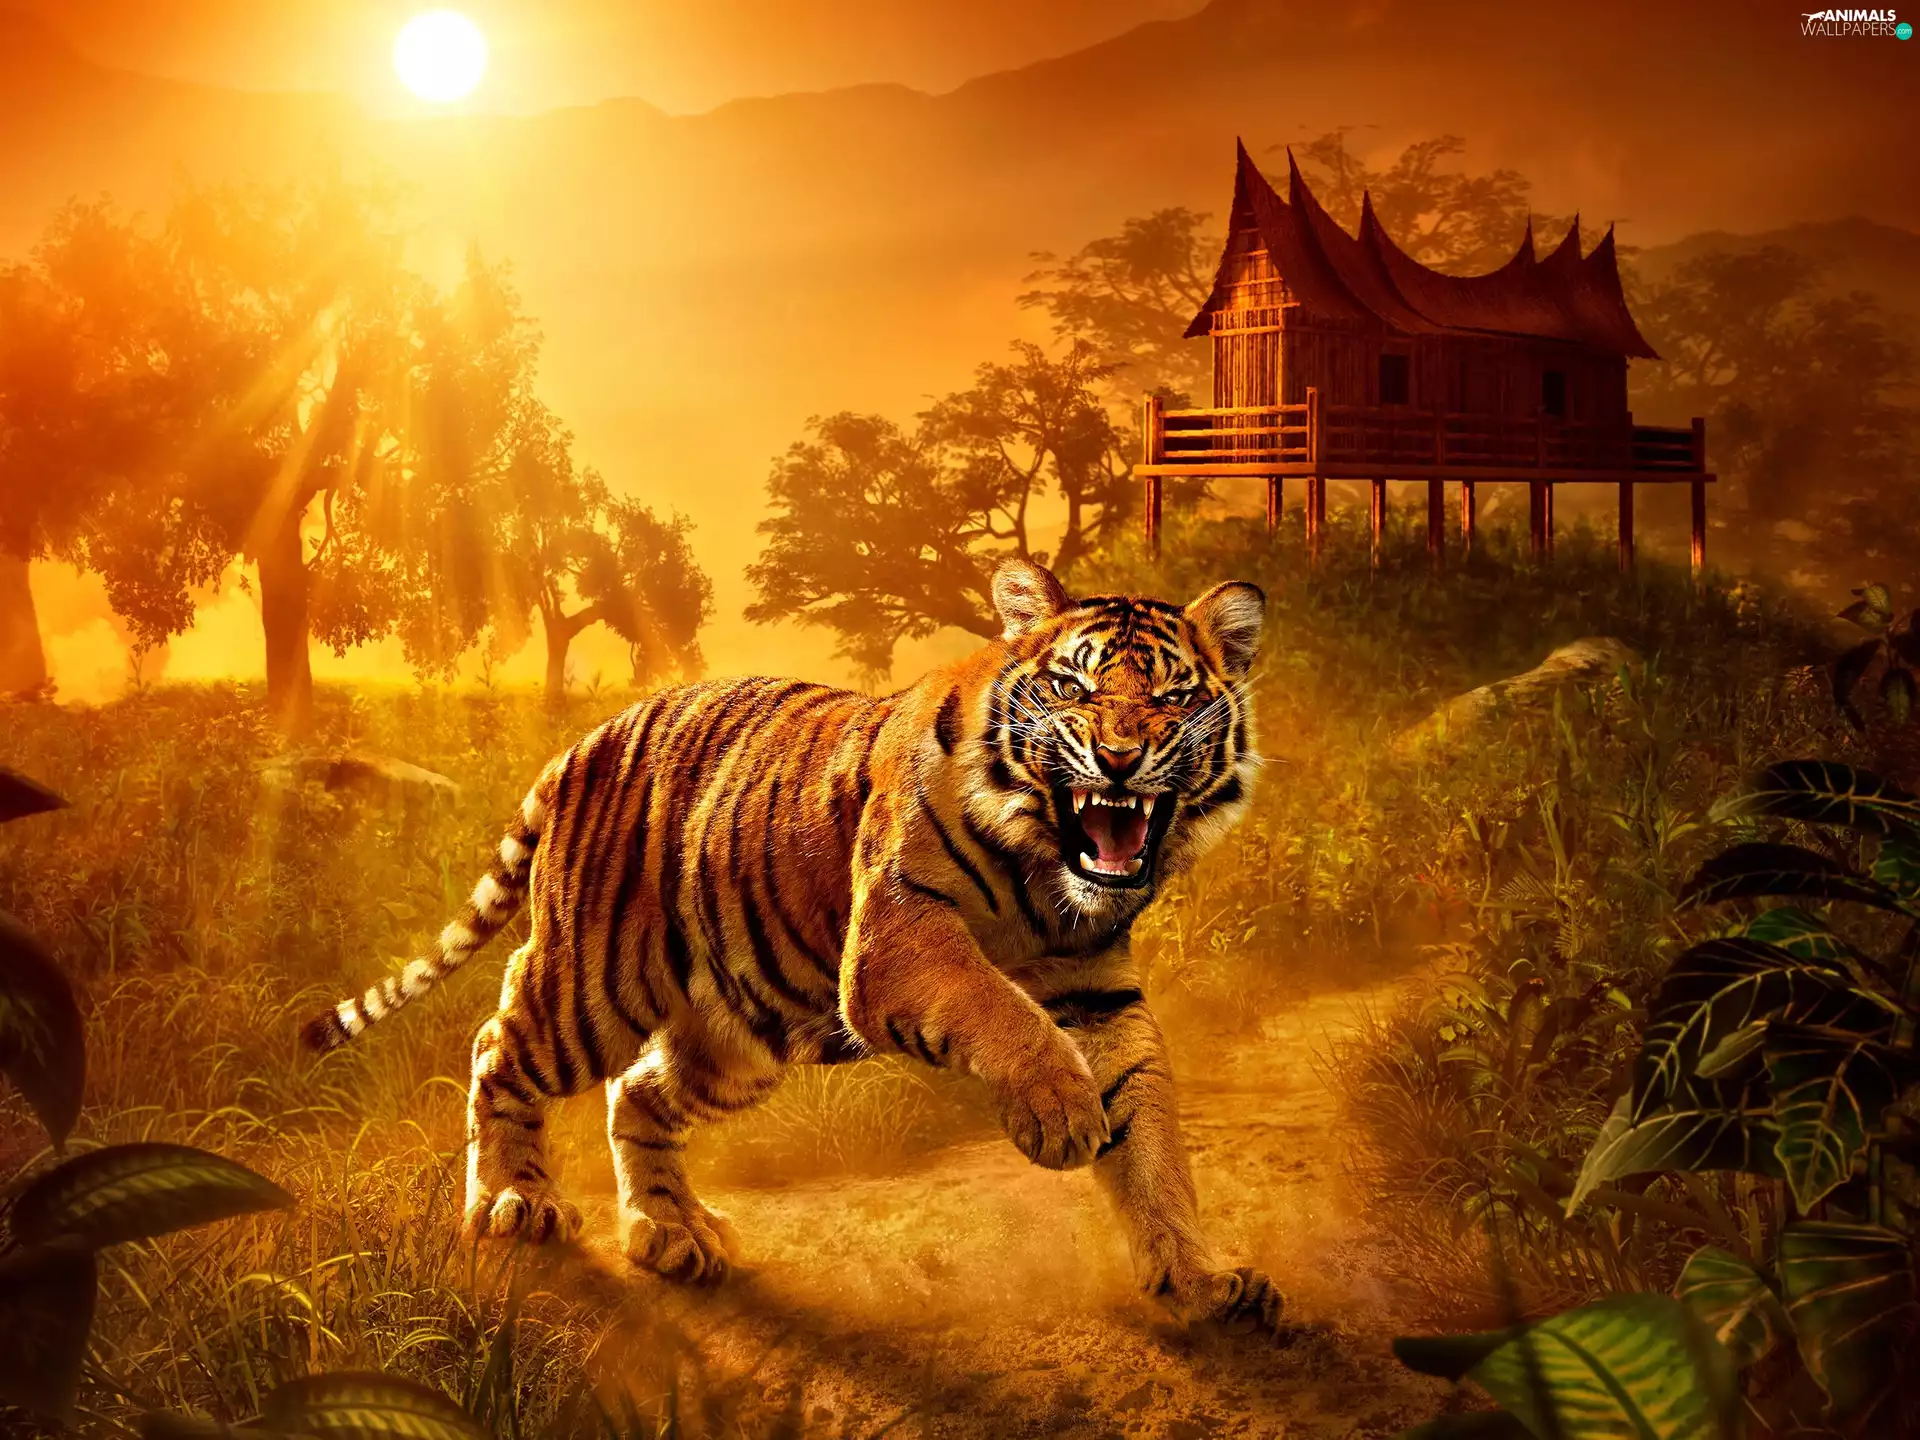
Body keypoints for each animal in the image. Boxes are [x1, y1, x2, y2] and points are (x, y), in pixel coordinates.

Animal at [301, 557, 1280, 1329]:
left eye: (1173, 696)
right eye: (1073, 688)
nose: (1117, 758)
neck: (1047, 878)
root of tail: (585, 740)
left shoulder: (1096, 992)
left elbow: (1150, 1136)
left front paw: (1200, 1279)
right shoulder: (898, 936)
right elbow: (998, 1007)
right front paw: (1062, 1114)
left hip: (739, 1032)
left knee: (638, 1093)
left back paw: (672, 1232)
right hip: (594, 985)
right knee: (499, 1042)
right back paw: (515, 1202)